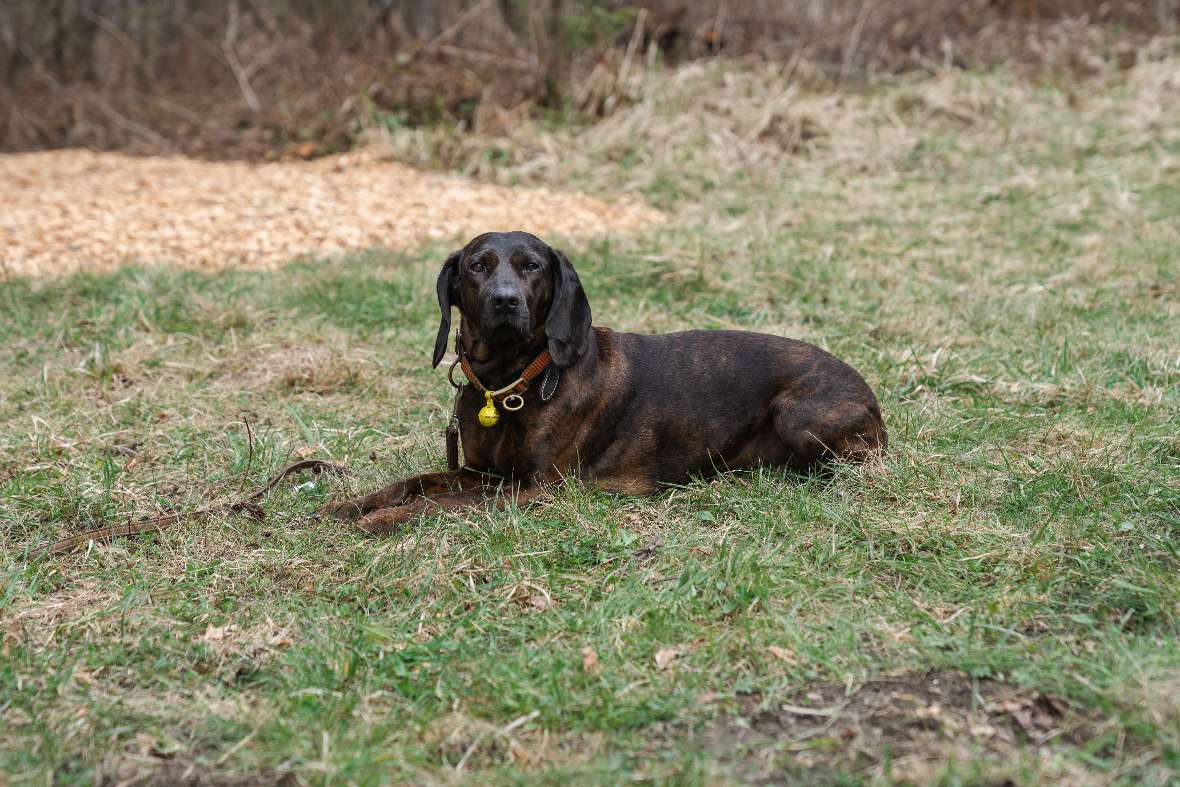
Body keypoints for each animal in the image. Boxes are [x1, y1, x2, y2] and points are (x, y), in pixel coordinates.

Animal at [323, 228, 887, 535]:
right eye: (477, 266)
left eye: (531, 266)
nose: (505, 301)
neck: (511, 384)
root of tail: (870, 396)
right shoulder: (480, 473)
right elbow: (411, 483)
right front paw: (347, 507)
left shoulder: (533, 489)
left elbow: (437, 505)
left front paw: (381, 522)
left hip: (799, 415)